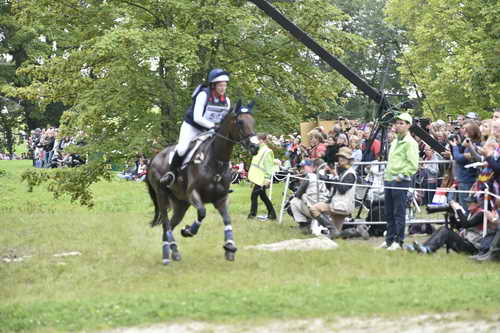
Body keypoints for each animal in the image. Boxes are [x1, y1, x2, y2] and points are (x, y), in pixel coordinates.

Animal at [145, 101, 260, 264]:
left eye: (253, 122)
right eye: (240, 122)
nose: (255, 147)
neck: (216, 160)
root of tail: (154, 158)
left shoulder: (221, 198)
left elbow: (227, 219)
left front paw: (230, 247)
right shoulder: (193, 194)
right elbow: (202, 212)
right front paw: (188, 231)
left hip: (181, 204)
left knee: (169, 226)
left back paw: (172, 252)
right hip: (162, 195)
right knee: (166, 224)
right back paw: (168, 254)